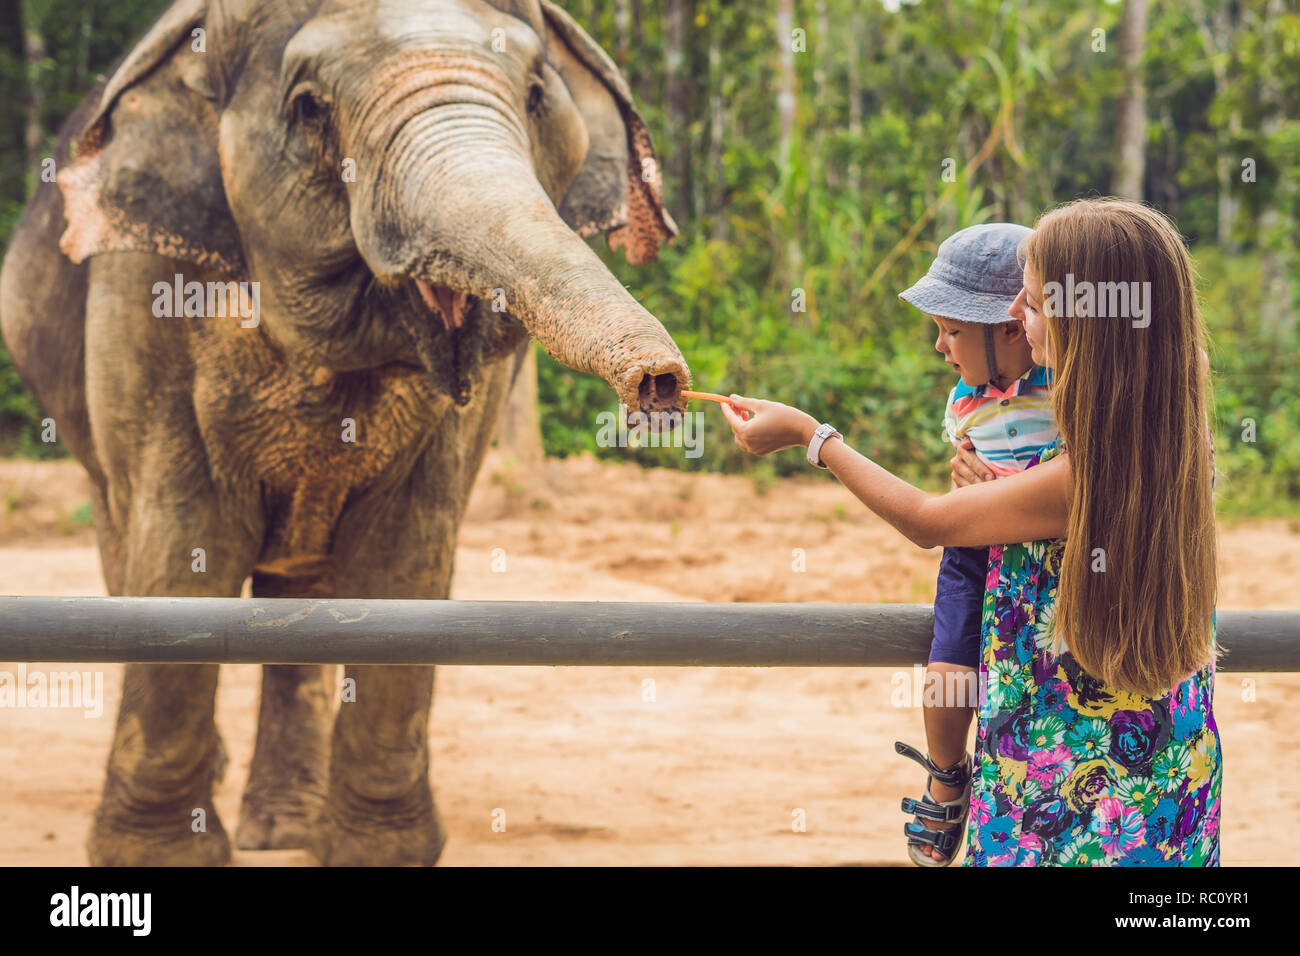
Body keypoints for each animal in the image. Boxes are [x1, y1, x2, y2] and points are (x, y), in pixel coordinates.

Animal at [0, 0, 689, 865]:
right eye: (308, 109)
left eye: (536, 94)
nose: (661, 385)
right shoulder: (142, 287)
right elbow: (187, 545)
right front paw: (160, 856)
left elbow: (404, 554)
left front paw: (375, 850)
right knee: (127, 545)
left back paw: (286, 827)